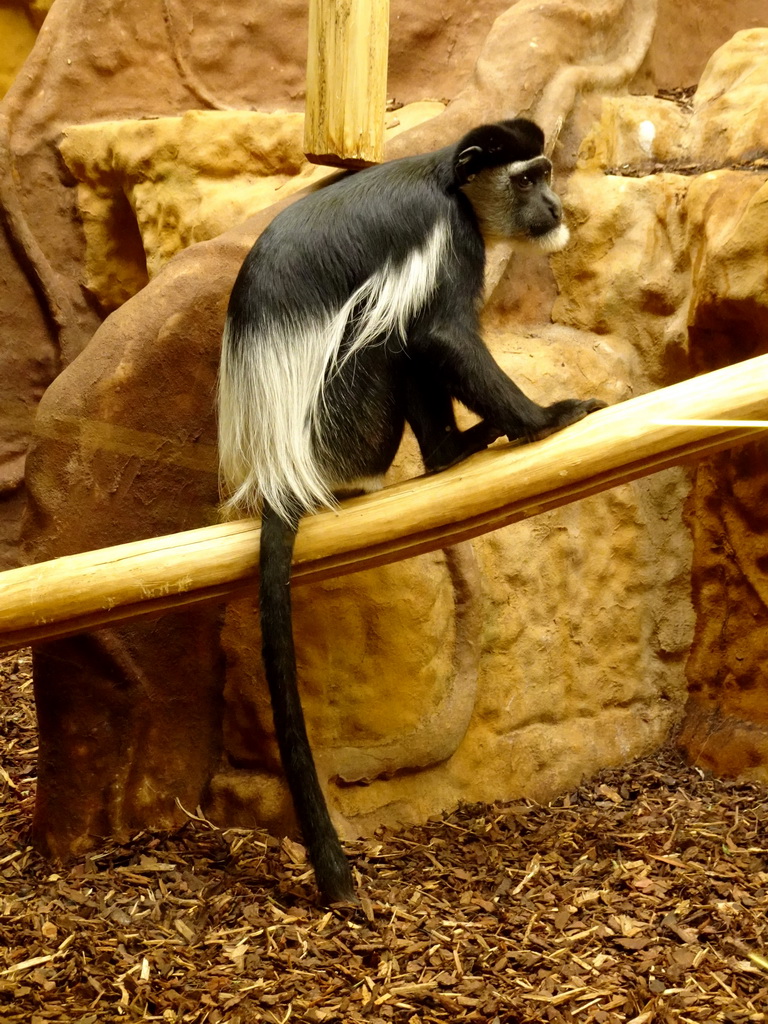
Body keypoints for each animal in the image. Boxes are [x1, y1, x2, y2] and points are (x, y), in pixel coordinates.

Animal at [221, 121, 606, 905]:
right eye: (527, 178)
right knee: (396, 334)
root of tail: (282, 471)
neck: (449, 185)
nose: (553, 207)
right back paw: (454, 448)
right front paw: (545, 419)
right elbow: (441, 333)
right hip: (348, 420)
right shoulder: (445, 239)